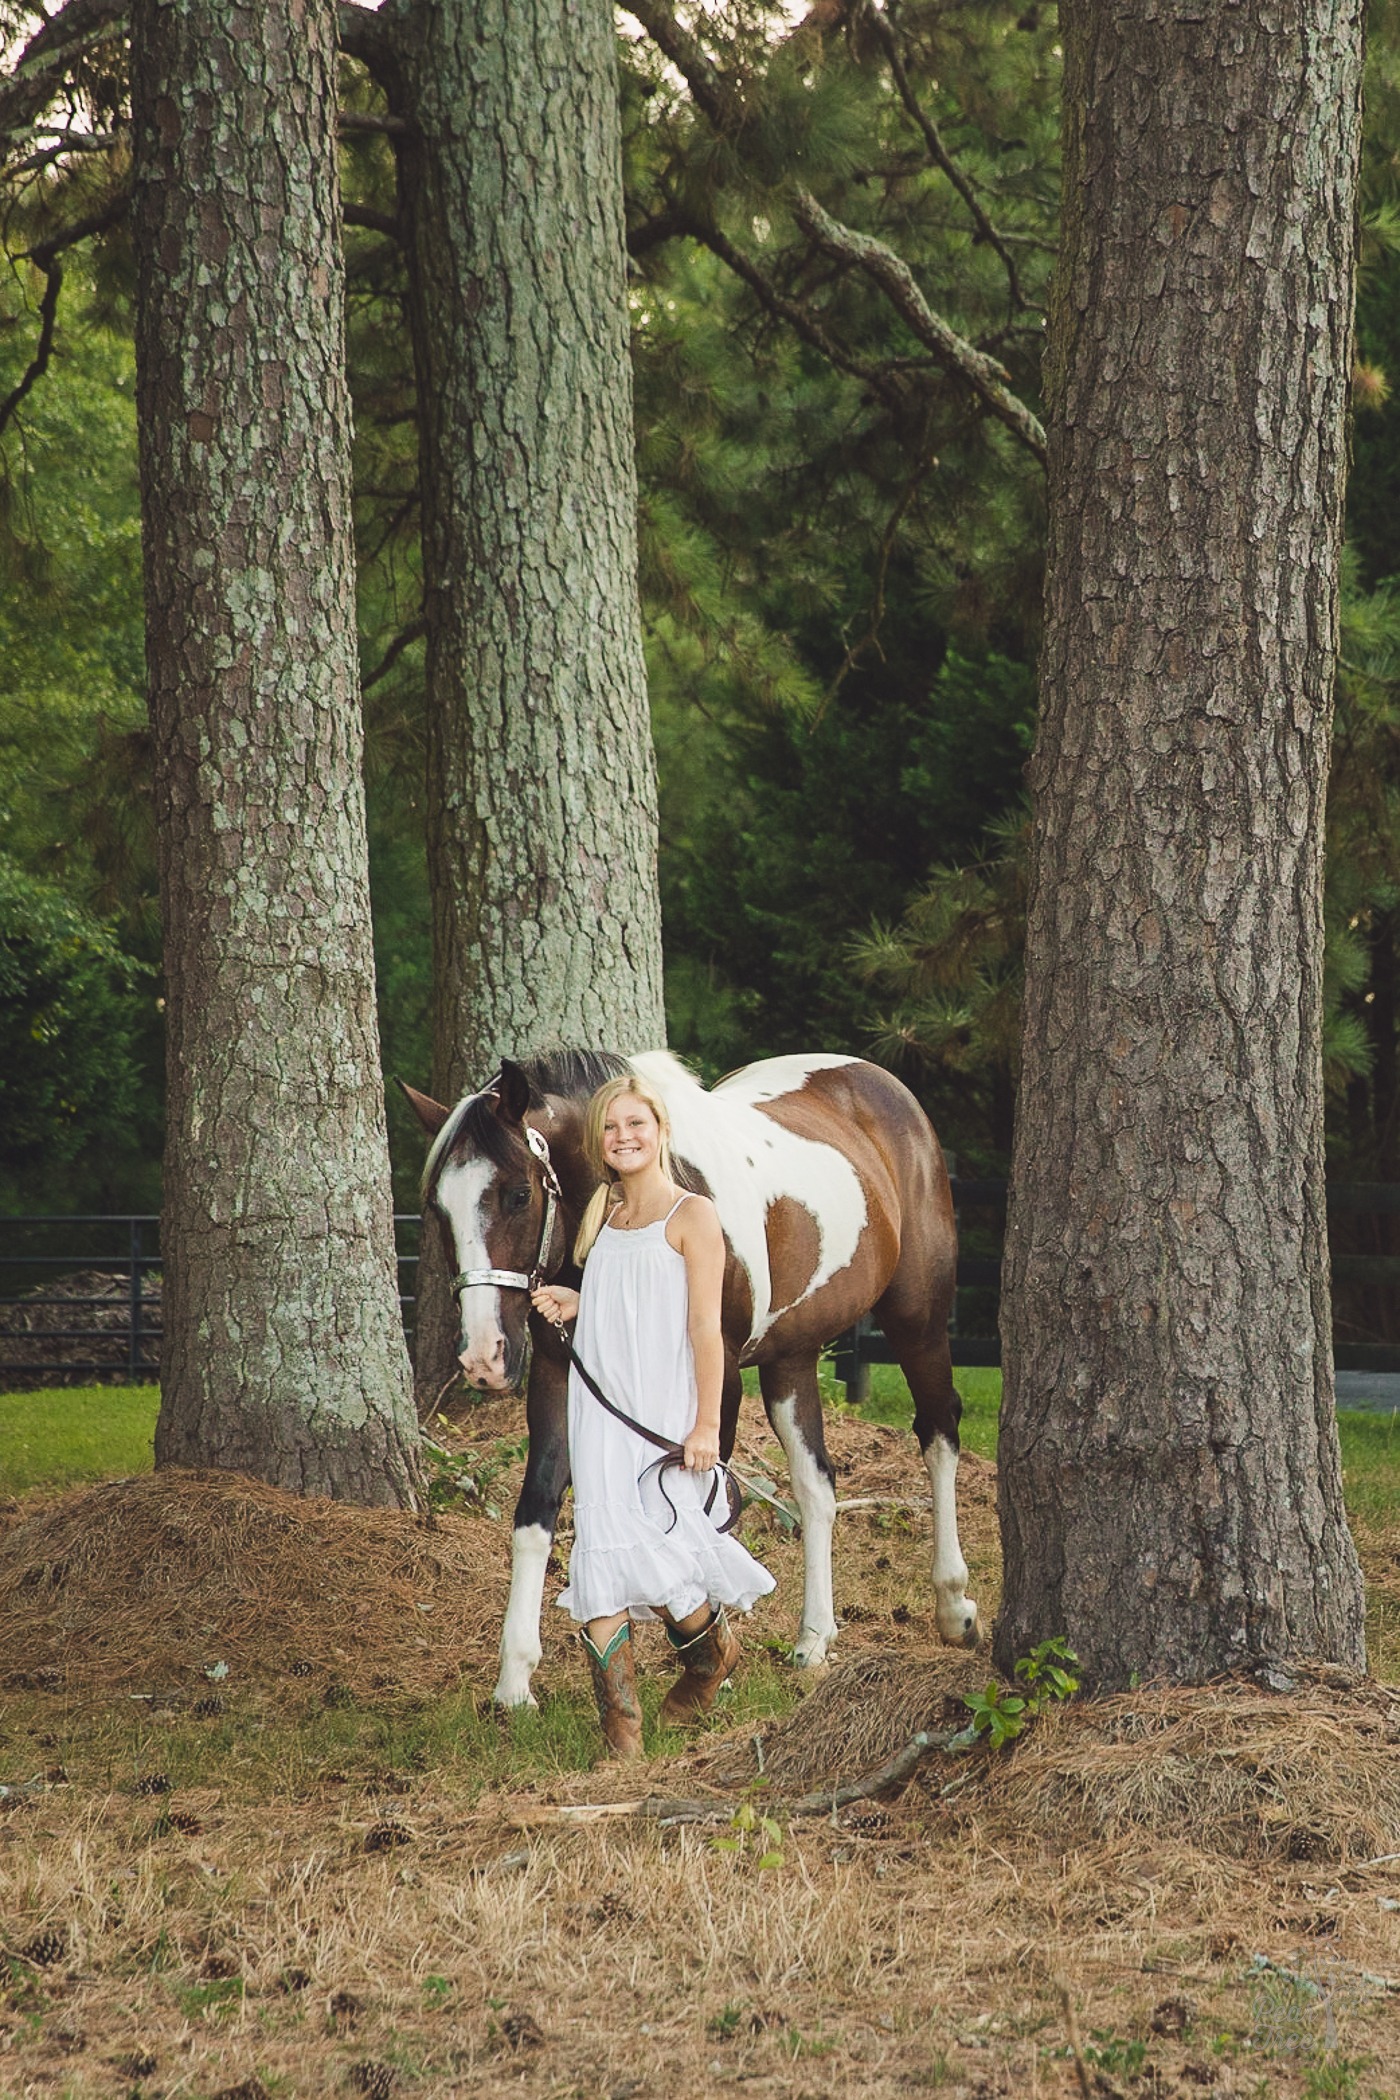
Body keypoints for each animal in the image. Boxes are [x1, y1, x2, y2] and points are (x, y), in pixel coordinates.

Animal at [398, 1050, 982, 1705]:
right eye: (437, 1207)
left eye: (519, 1194)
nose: (484, 1358)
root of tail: (879, 1083)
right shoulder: (558, 1373)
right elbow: (537, 1510)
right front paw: (515, 1681)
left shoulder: (718, 1379)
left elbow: (705, 1511)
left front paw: (707, 1659)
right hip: (792, 1356)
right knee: (817, 1487)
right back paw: (813, 1640)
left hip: (918, 1319)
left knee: (938, 1433)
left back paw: (955, 1608)